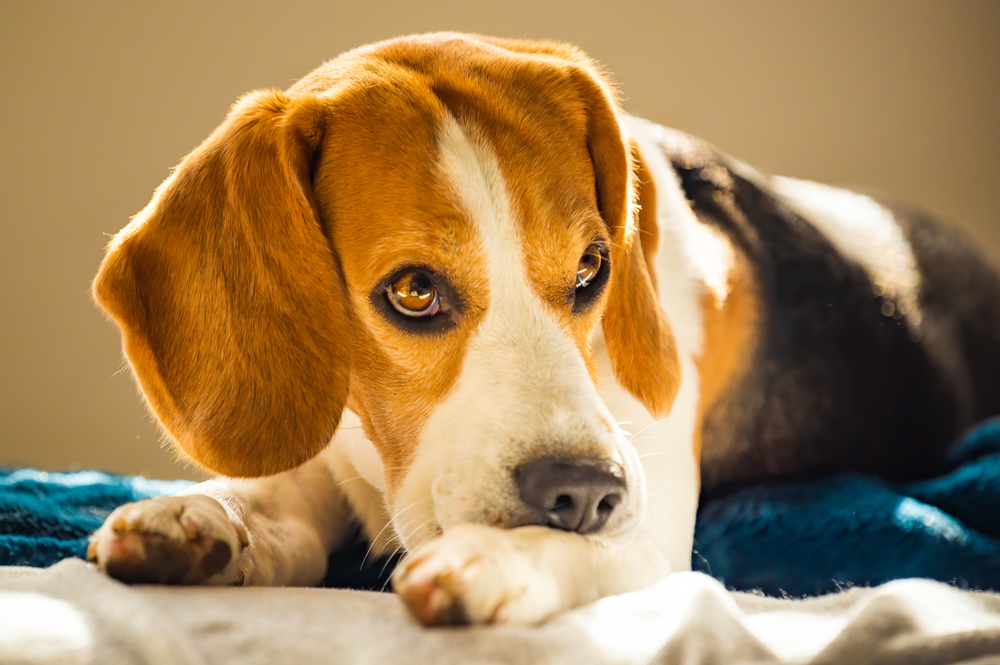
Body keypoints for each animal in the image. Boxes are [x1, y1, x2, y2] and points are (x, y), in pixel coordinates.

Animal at [84, 31, 1000, 624]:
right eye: (412, 290)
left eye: (593, 266)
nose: (585, 491)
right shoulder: (323, 459)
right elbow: (271, 502)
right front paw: (199, 517)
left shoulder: (650, 531)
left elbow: (587, 546)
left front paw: (497, 557)